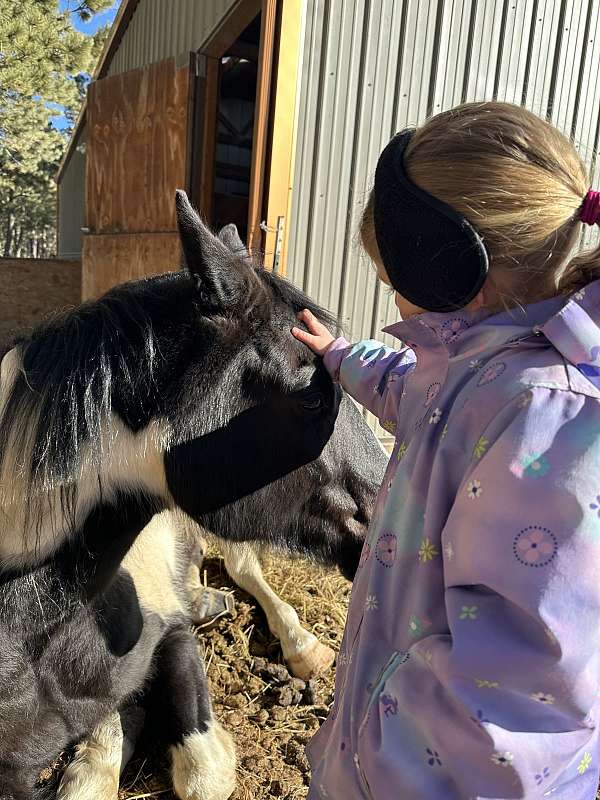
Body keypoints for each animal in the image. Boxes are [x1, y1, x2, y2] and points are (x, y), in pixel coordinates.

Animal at [0, 194, 384, 800]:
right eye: (311, 398)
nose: (383, 515)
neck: (34, 636)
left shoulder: (173, 633)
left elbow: (204, 772)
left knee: (243, 566)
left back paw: (300, 643)